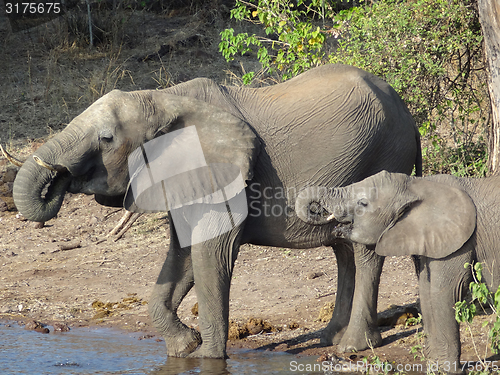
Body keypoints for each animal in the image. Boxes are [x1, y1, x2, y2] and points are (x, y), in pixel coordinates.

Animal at [12, 64, 422, 358]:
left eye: (107, 138)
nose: (58, 178)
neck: (164, 99)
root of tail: (409, 115)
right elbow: (183, 255)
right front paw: (185, 346)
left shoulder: (224, 178)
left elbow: (212, 255)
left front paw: (207, 357)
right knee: (342, 250)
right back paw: (328, 339)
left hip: (385, 155)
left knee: (366, 253)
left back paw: (353, 346)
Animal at [294, 171, 500, 374]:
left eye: (363, 203)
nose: (318, 211)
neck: (417, 185)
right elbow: (426, 289)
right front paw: (434, 366)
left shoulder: (460, 241)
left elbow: (444, 291)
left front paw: (447, 370)